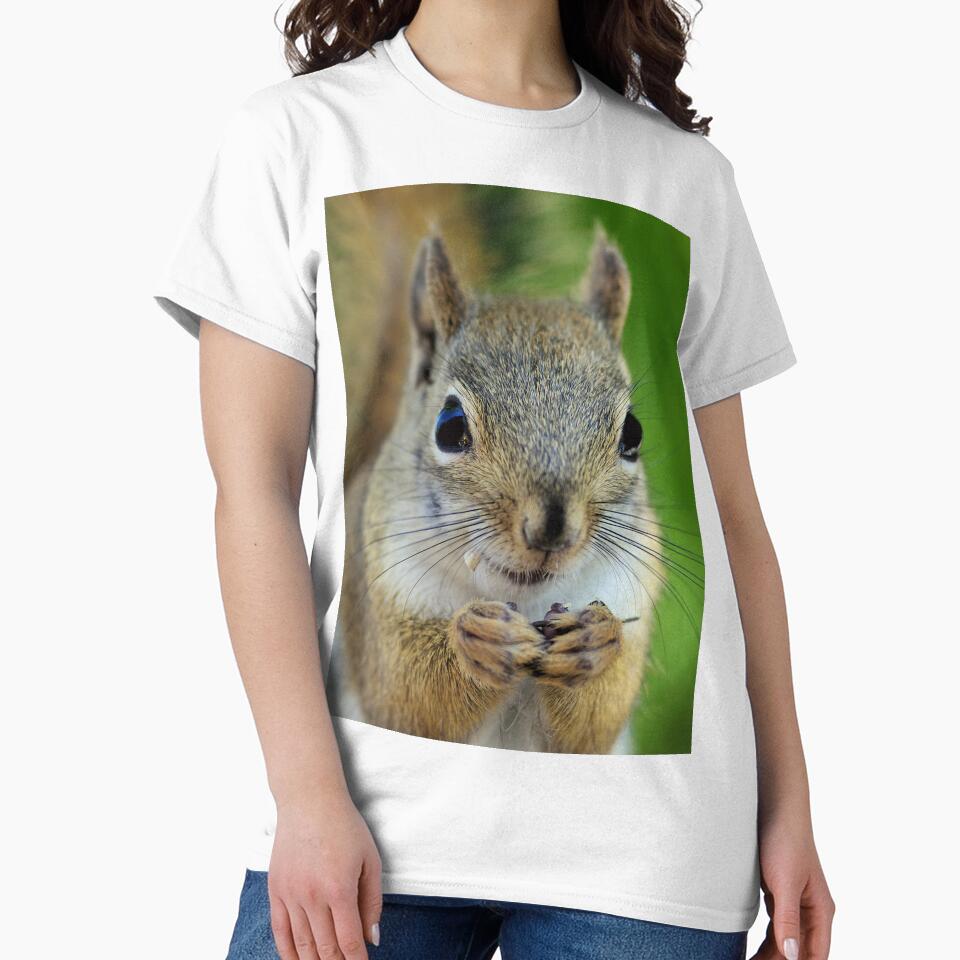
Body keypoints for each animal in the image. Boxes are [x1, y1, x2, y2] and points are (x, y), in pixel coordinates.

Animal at [328, 213, 663, 754]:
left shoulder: (630, 587)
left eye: (632, 433)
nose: (551, 530)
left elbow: (593, 724)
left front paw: (596, 640)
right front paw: (479, 639)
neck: (522, 600)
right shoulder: (380, 592)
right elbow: (406, 694)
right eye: (448, 427)